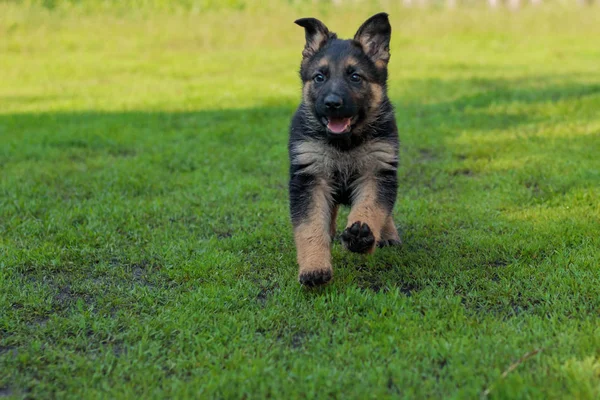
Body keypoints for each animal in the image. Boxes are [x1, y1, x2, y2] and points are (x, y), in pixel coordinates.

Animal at [290, 13, 400, 288]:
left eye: (355, 77)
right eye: (319, 77)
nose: (332, 104)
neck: (344, 144)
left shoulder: (377, 172)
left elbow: (372, 208)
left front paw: (362, 237)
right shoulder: (309, 179)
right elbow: (310, 227)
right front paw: (314, 267)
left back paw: (388, 233)